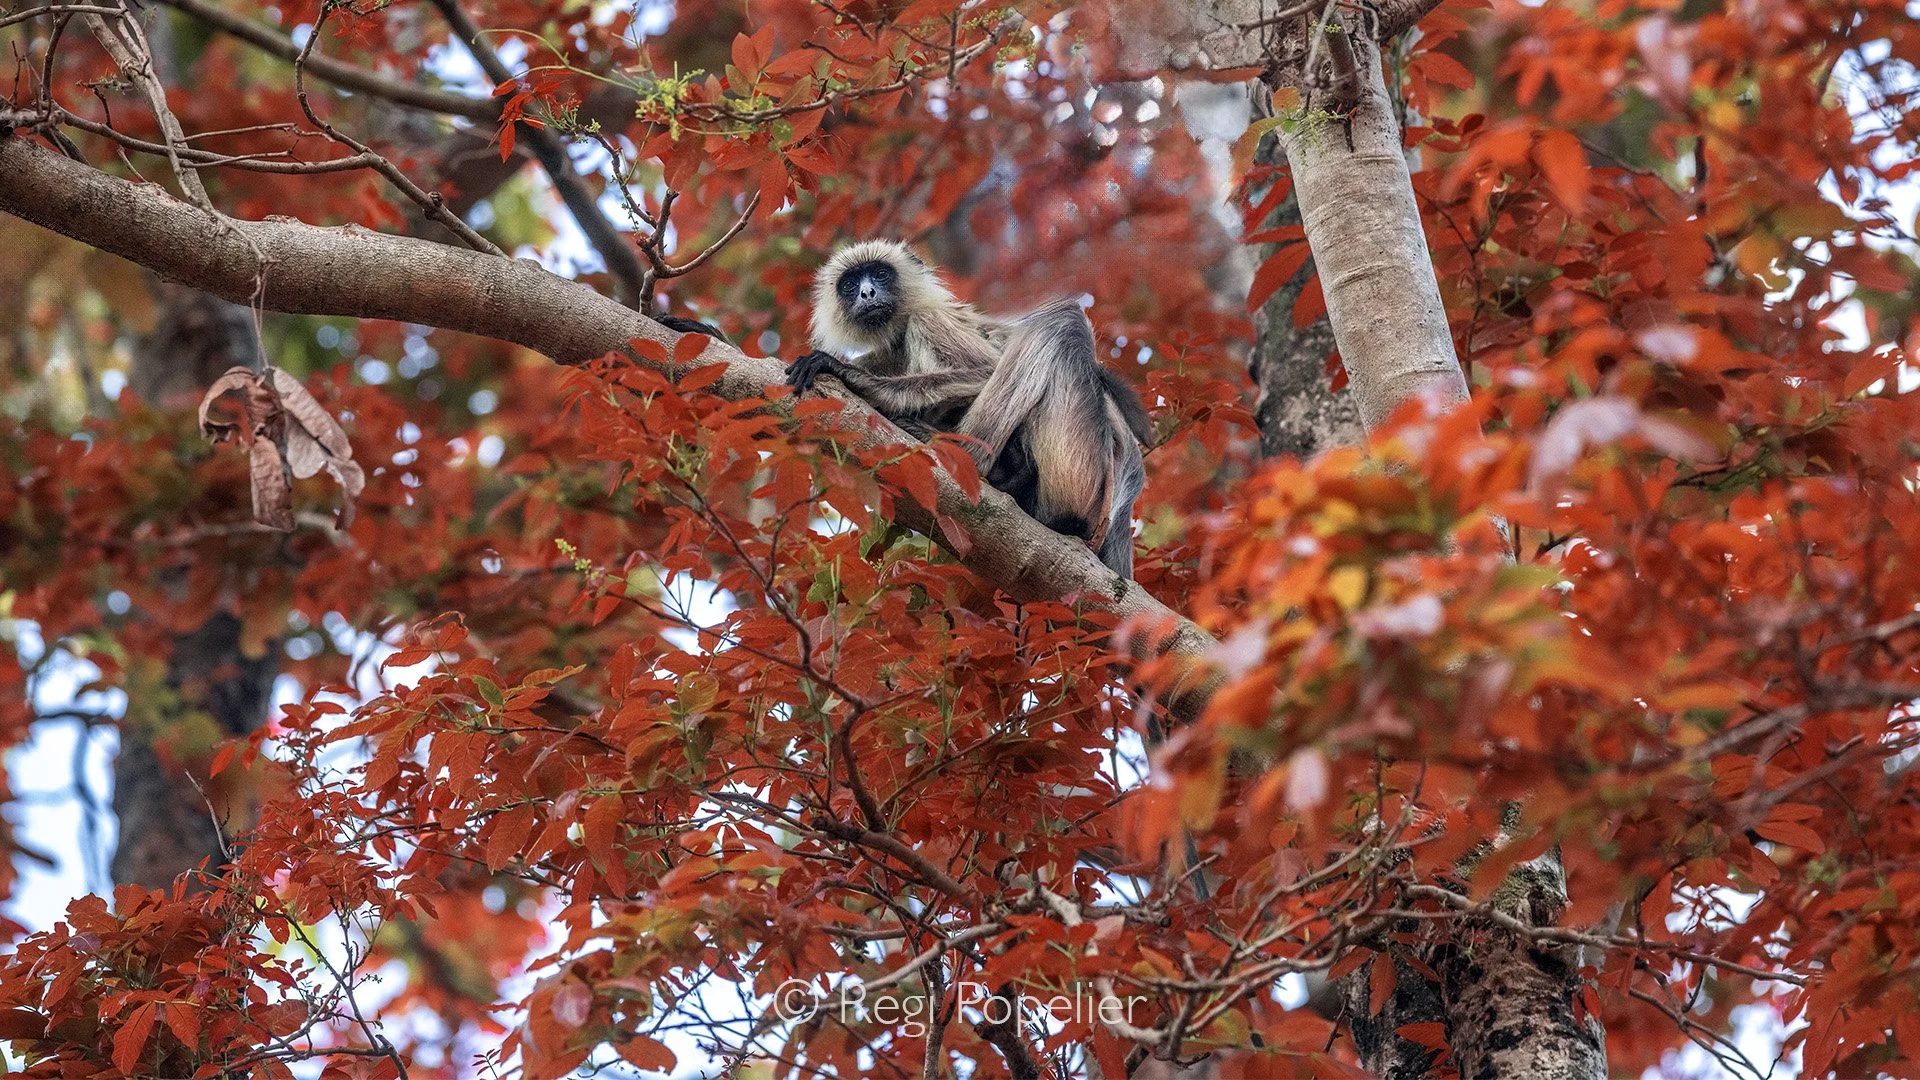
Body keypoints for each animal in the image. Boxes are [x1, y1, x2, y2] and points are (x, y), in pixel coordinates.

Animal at [785, 240, 1153, 578]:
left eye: (879, 274)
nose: (867, 293)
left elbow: (987, 369)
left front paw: (861, 382)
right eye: (849, 285)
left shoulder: (933, 318)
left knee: (1061, 320)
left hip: (1080, 473)